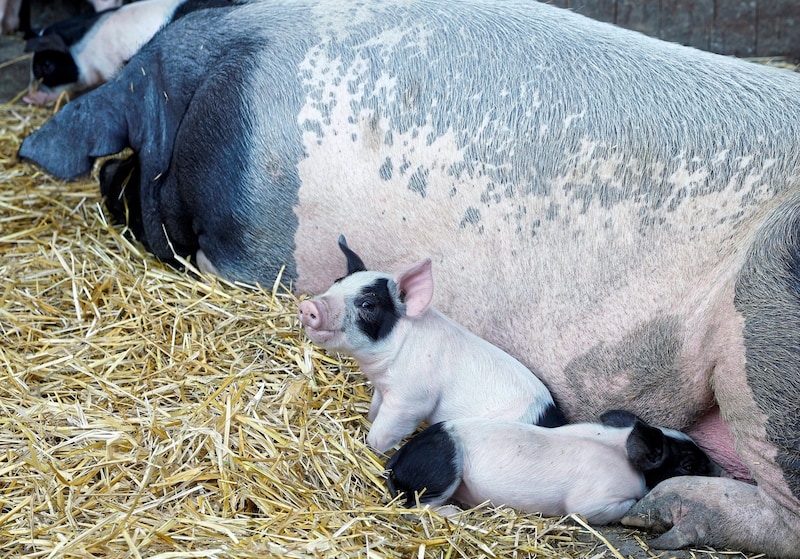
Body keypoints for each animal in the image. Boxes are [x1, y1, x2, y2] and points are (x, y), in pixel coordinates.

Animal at [296, 237, 564, 456]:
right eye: (336, 282)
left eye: (368, 305)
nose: (309, 306)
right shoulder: (384, 389)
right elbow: (373, 412)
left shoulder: (410, 400)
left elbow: (381, 434)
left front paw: (370, 449)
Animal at [384, 414, 720, 528]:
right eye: (688, 465)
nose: (719, 469)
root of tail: (397, 458)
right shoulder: (590, 503)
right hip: (442, 471)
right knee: (417, 505)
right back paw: (456, 514)